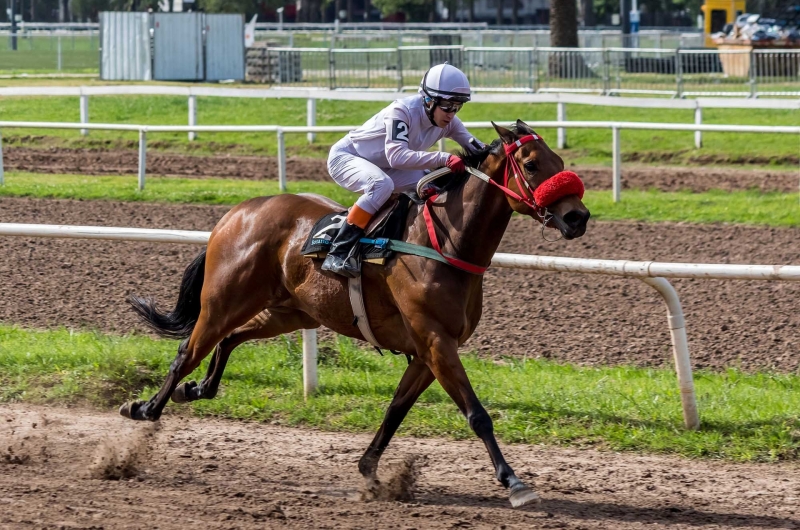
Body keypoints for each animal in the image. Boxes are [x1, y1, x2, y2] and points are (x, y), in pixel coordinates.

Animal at [119, 117, 588, 506]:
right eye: (531, 164)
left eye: (560, 160)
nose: (578, 217)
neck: (445, 244)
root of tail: (236, 213)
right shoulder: (437, 342)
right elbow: (478, 415)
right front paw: (514, 482)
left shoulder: (427, 352)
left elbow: (396, 411)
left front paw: (370, 471)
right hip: (223, 302)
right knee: (187, 352)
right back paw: (145, 409)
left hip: (291, 312)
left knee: (230, 340)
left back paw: (196, 389)